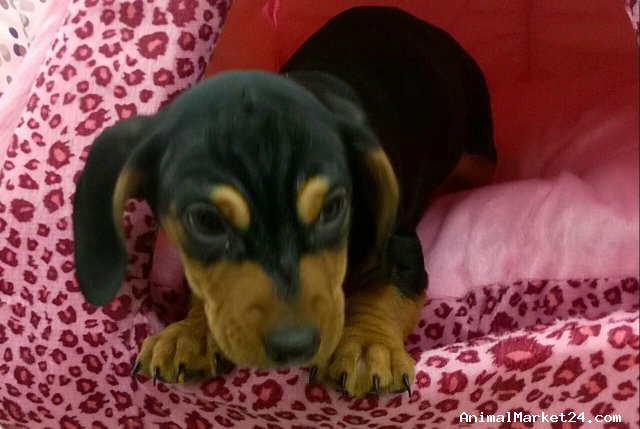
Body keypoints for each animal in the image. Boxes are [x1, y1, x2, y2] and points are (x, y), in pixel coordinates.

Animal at [73, 6, 496, 397]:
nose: (293, 344)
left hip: (476, 144)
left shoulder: (398, 242)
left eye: (332, 209)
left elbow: (385, 290)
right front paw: (190, 334)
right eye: (207, 222)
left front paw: (365, 344)